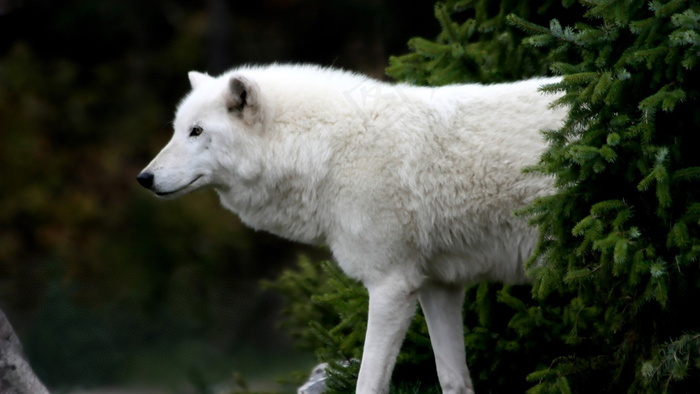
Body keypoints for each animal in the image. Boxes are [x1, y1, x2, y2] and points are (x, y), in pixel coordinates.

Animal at [135, 64, 564, 394]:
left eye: (196, 132)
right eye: (177, 130)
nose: (143, 178)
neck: (329, 150)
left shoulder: (391, 286)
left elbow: (368, 383)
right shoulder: (437, 286)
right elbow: (452, 379)